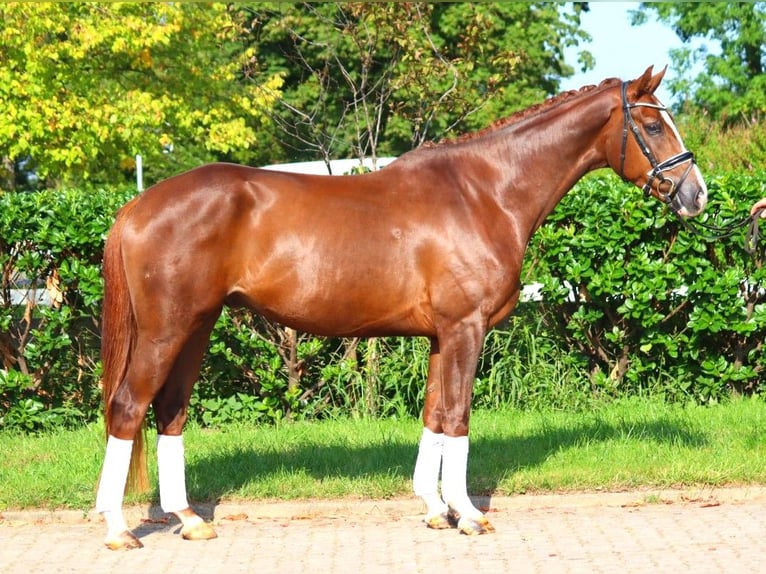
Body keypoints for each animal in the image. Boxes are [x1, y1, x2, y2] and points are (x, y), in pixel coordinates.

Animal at [96, 67, 708, 548]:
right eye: (653, 125)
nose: (696, 194)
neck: (484, 193)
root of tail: (137, 206)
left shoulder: (441, 336)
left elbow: (434, 414)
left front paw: (436, 510)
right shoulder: (466, 329)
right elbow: (458, 416)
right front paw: (469, 515)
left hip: (196, 327)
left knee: (169, 411)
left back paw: (188, 519)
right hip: (166, 330)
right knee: (127, 408)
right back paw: (118, 530)